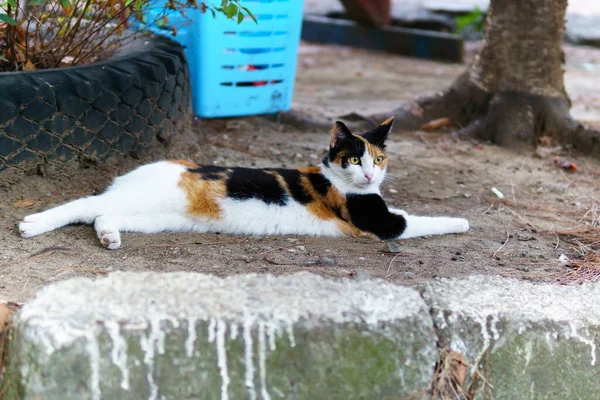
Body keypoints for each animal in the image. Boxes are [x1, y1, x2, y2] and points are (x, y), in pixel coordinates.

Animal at [17, 116, 468, 247]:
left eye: (378, 158)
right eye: (355, 159)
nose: (371, 172)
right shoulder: (382, 222)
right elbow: (421, 219)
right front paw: (464, 221)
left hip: (160, 216)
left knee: (102, 215)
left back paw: (109, 236)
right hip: (144, 198)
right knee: (84, 205)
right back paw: (32, 224)